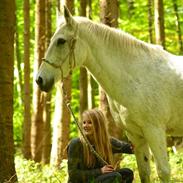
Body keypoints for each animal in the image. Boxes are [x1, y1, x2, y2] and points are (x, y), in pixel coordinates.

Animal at [36, 6, 183, 183]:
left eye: (61, 41)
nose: (40, 80)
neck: (137, 77)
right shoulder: (136, 135)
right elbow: (144, 171)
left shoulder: (155, 131)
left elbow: (163, 171)